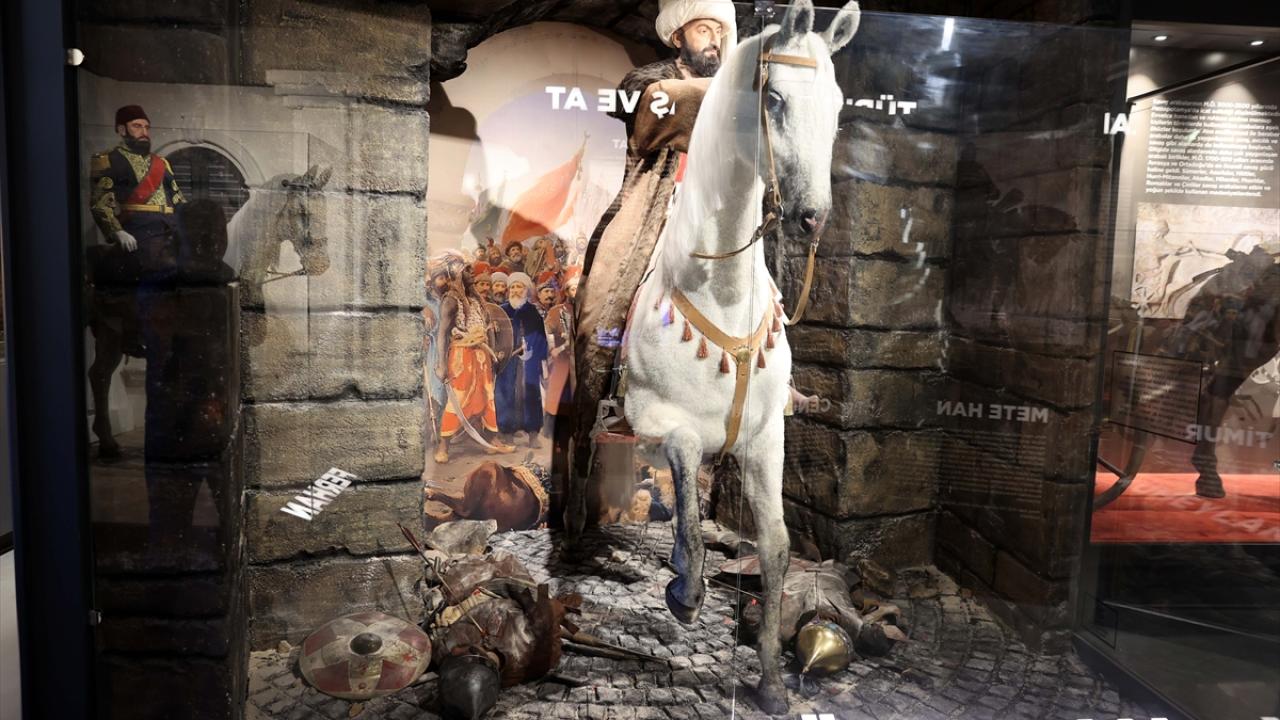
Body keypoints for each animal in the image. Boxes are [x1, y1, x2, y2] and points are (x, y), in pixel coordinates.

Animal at [618, 3, 860, 713]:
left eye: (839, 104)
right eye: (772, 97)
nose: (812, 218)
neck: (718, 288)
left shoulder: (764, 437)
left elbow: (775, 547)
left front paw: (773, 680)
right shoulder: (656, 419)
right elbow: (684, 475)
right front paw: (686, 592)